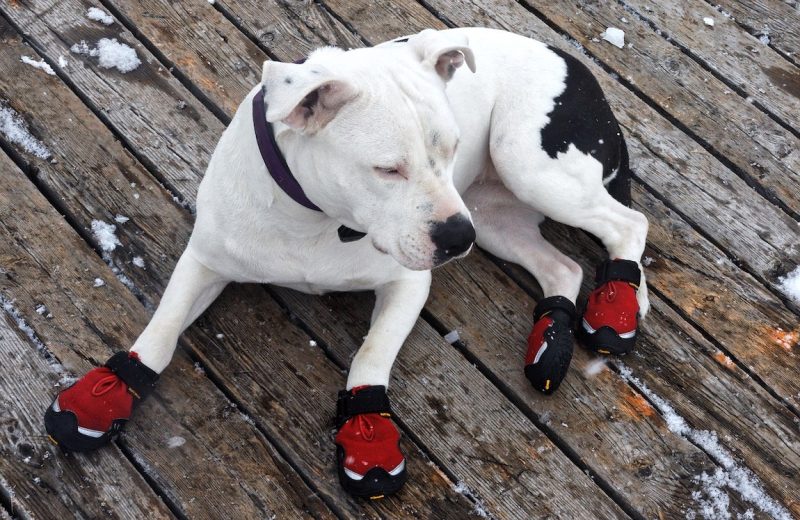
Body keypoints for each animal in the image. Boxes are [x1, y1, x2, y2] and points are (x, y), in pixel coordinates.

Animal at [45, 26, 648, 498]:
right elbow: (163, 328)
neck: (314, 216)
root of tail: (570, 58)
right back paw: (552, 346)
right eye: (388, 169)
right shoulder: (206, 259)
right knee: (564, 267)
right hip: (496, 217)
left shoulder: (407, 285)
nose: (457, 237)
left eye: (452, 147)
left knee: (628, 224)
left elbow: (371, 355)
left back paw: (618, 308)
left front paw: (367, 431)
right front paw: (108, 389)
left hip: (525, 169)